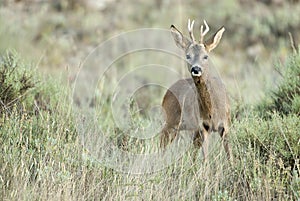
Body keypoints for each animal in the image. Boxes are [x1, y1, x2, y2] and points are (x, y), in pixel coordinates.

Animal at [161, 18, 231, 160]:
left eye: (206, 56)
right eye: (188, 56)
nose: (196, 69)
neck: (212, 110)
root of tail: (167, 91)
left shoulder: (225, 125)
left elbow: (230, 155)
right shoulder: (203, 127)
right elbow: (205, 159)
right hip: (171, 120)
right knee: (161, 140)